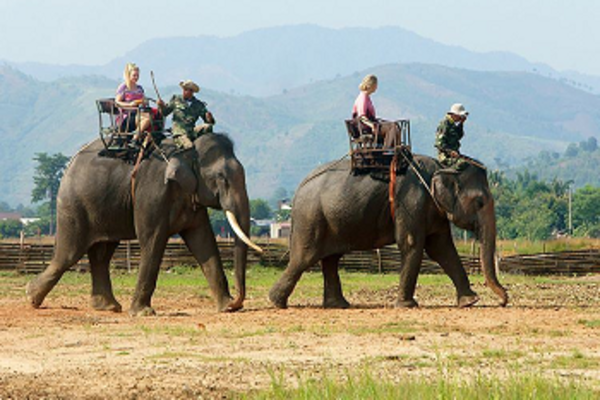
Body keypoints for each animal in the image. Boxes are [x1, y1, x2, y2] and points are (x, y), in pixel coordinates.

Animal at [27, 134, 262, 316]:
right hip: (74, 205)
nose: (237, 302)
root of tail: (72, 161)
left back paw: (108, 307)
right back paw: (31, 297)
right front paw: (143, 313)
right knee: (69, 253)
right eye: (222, 177)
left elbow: (203, 240)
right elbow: (152, 240)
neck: (187, 148)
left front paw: (225, 307)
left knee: (102, 254)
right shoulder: (152, 193)